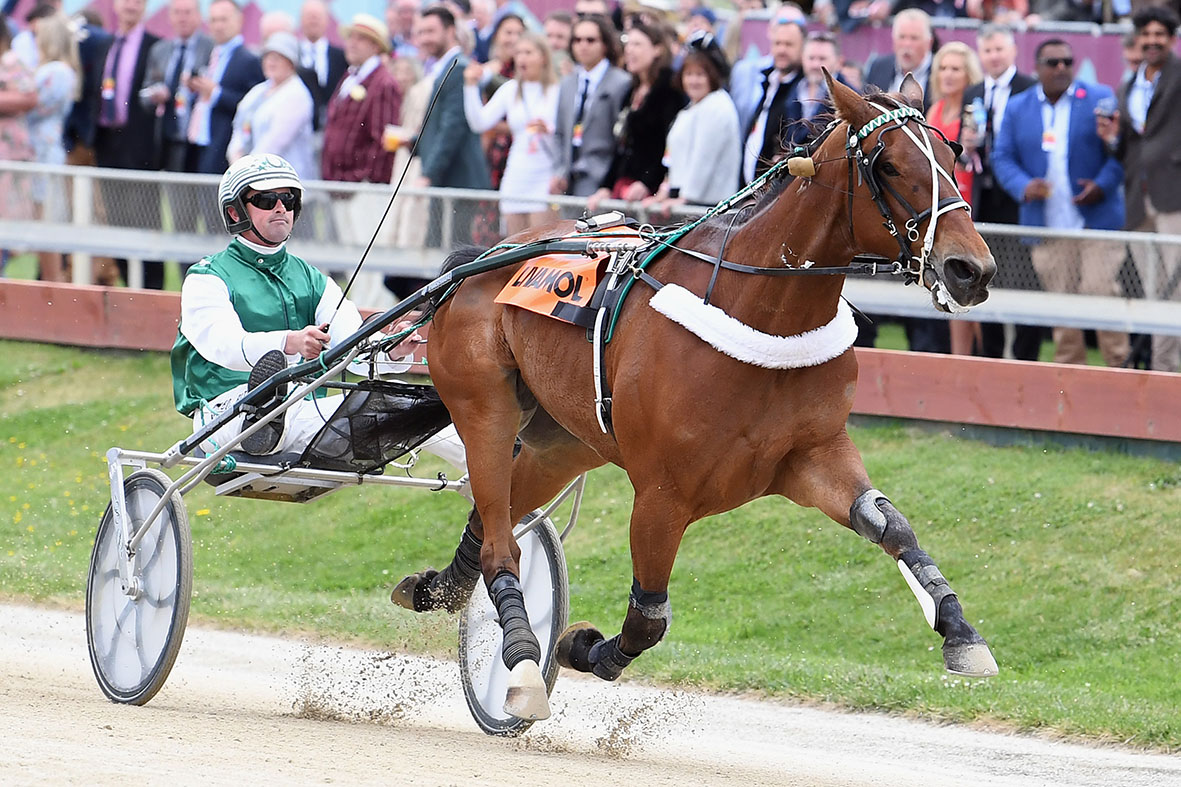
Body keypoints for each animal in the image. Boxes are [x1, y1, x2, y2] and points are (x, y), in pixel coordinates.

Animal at [394, 72, 996, 718]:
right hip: (485, 404)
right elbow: (648, 618)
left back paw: (438, 590)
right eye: (888, 165)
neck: (759, 311)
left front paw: (962, 634)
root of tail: (478, 260)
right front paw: (580, 646)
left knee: (494, 518)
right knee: (501, 543)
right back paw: (523, 661)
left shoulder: (813, 456)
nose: (971, 269)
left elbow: (891, 525)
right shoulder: (663, 494)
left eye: (954, 158)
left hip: (566, 441)